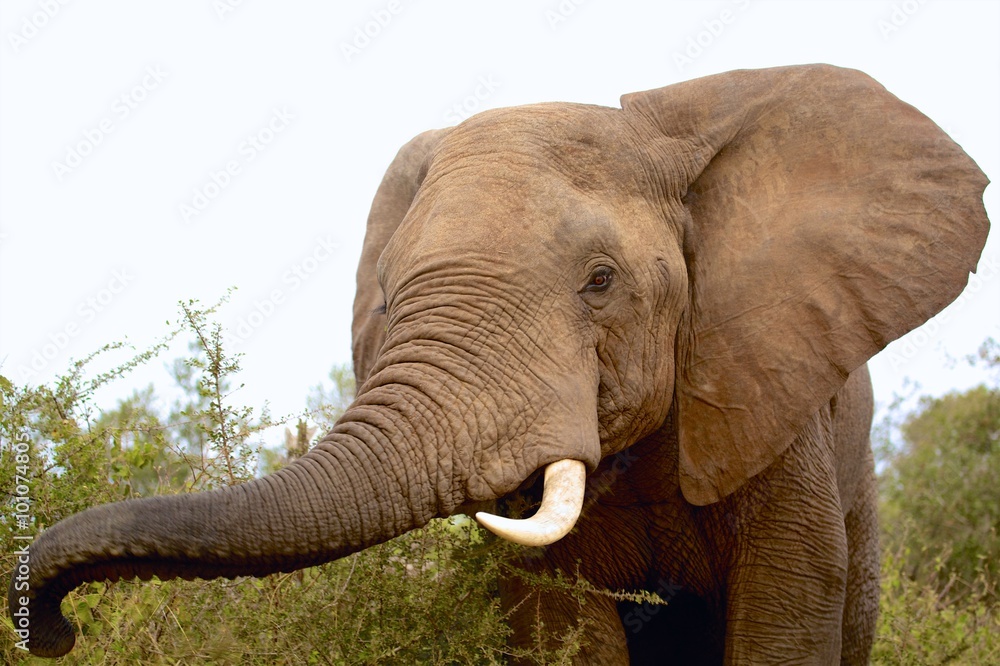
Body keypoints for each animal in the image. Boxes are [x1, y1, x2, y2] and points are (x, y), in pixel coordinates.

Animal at [8, 65, 990, 663]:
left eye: (601, 282)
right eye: (389, 301)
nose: (54, 628)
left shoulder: (765, 394)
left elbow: (785, 608)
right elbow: (563, 625)